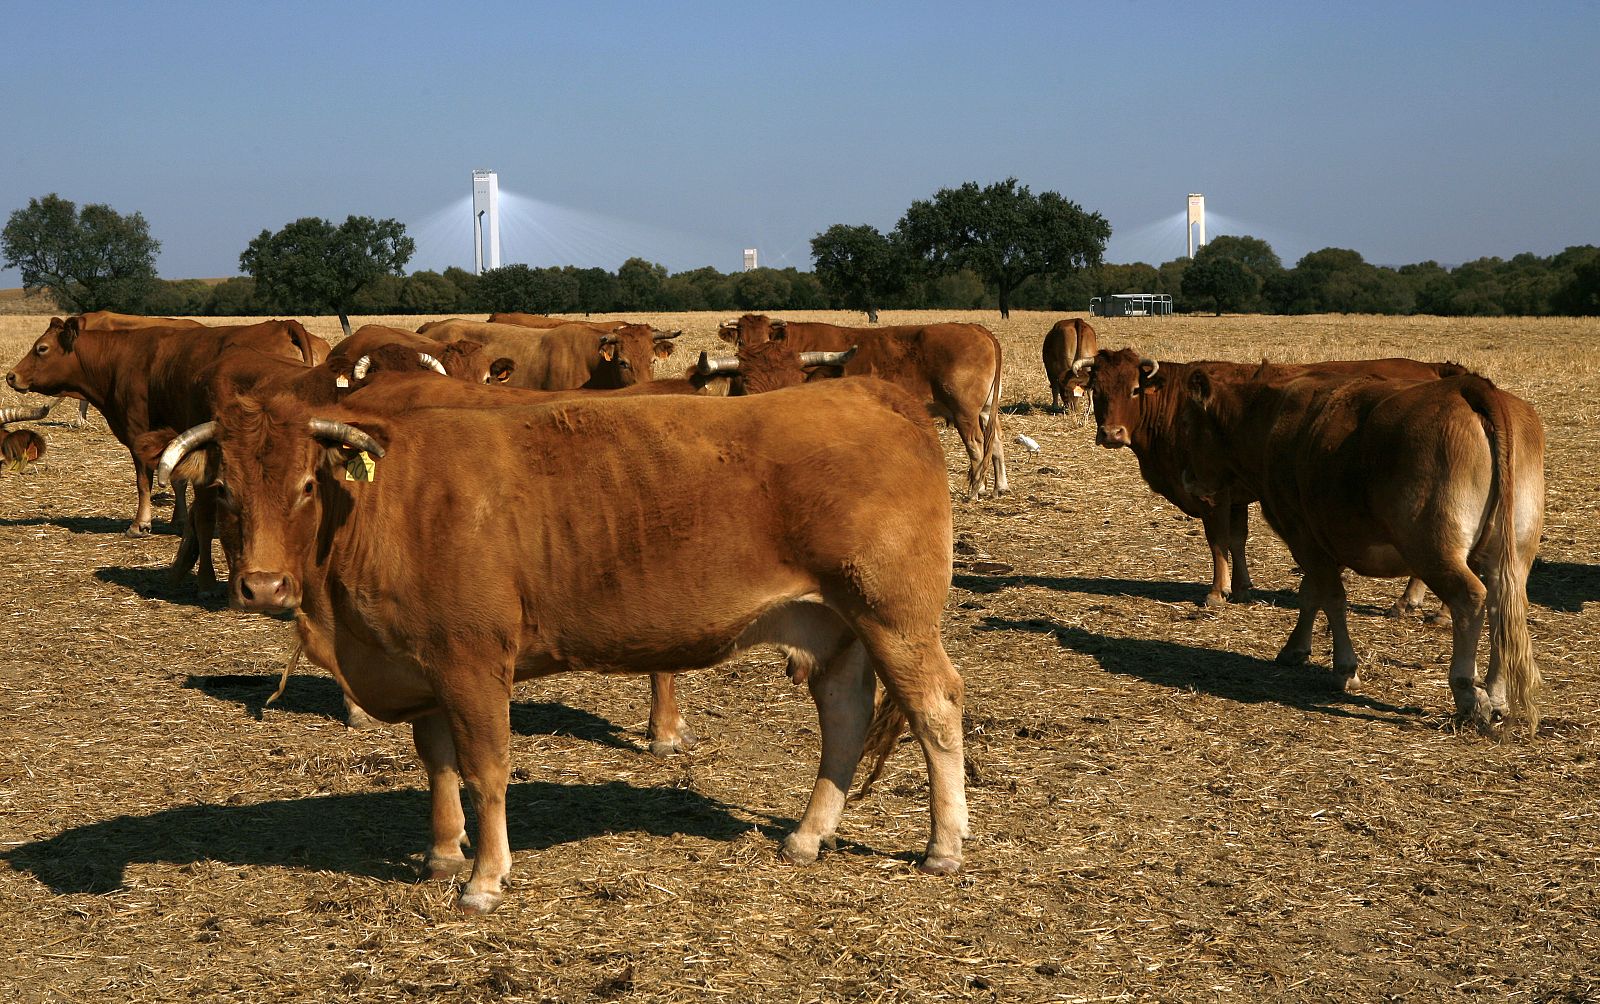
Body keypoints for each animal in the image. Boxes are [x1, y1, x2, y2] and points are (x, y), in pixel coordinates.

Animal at [2, 318, 328, 537]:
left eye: (41, 348)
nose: (11, 375)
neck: (119, 359)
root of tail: (284, 325)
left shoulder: (138, 433)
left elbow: (143, 480)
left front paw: (140, 523)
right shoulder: (175, 433)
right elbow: (177, 477)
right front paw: (180, 520)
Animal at [716, 313, 998, 498]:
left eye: (767, 338)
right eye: (741, 341)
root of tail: (974, 328)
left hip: (964, 411)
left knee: (976, 444)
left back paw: (975, 489)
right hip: (984, 410)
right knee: (994, 442)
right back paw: (996, 487)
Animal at [1081, 348, 1465, 607]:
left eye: (1134, 389)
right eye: (1096, 391)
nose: (1111, 434)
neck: (1179, 406)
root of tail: (1432, 369)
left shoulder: (1211, 491)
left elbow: (1217, 541)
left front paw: (1217, 591)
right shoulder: (1235, 494)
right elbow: (1236, 540)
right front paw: (1241, 587)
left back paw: (1412, 600)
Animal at [1184, 362, 1542, 729]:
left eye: (1188, 425)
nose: (1191, 483)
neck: (1269, 418)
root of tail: (1467, 387)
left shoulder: (1303, 534)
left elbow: (1331, 598)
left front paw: (1344, 669)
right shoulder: (1324, 541)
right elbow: (1310, 594)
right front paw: (1294, 648)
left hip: (1433, 549)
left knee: (1470, 598)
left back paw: (1470, 696)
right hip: (1512, 552)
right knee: (1503, 603)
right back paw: (1497, 695)